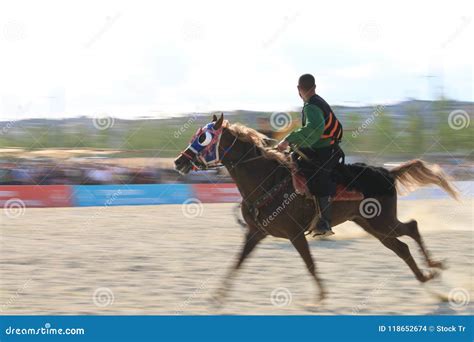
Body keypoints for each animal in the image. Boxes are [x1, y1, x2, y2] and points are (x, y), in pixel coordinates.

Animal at [174, 113, 460, 304]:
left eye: (203, 138)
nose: (178, 161)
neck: (267, 180)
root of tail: (387, 172)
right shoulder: (255, 233)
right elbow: (237, 262)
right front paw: (218, 296)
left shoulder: (294, 234)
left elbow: (310, 264)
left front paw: (321, 296)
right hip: (371, 225)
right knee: (402, 247)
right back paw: (428, 278)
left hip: (382, 221)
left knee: (412, 228)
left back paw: (434, 269)